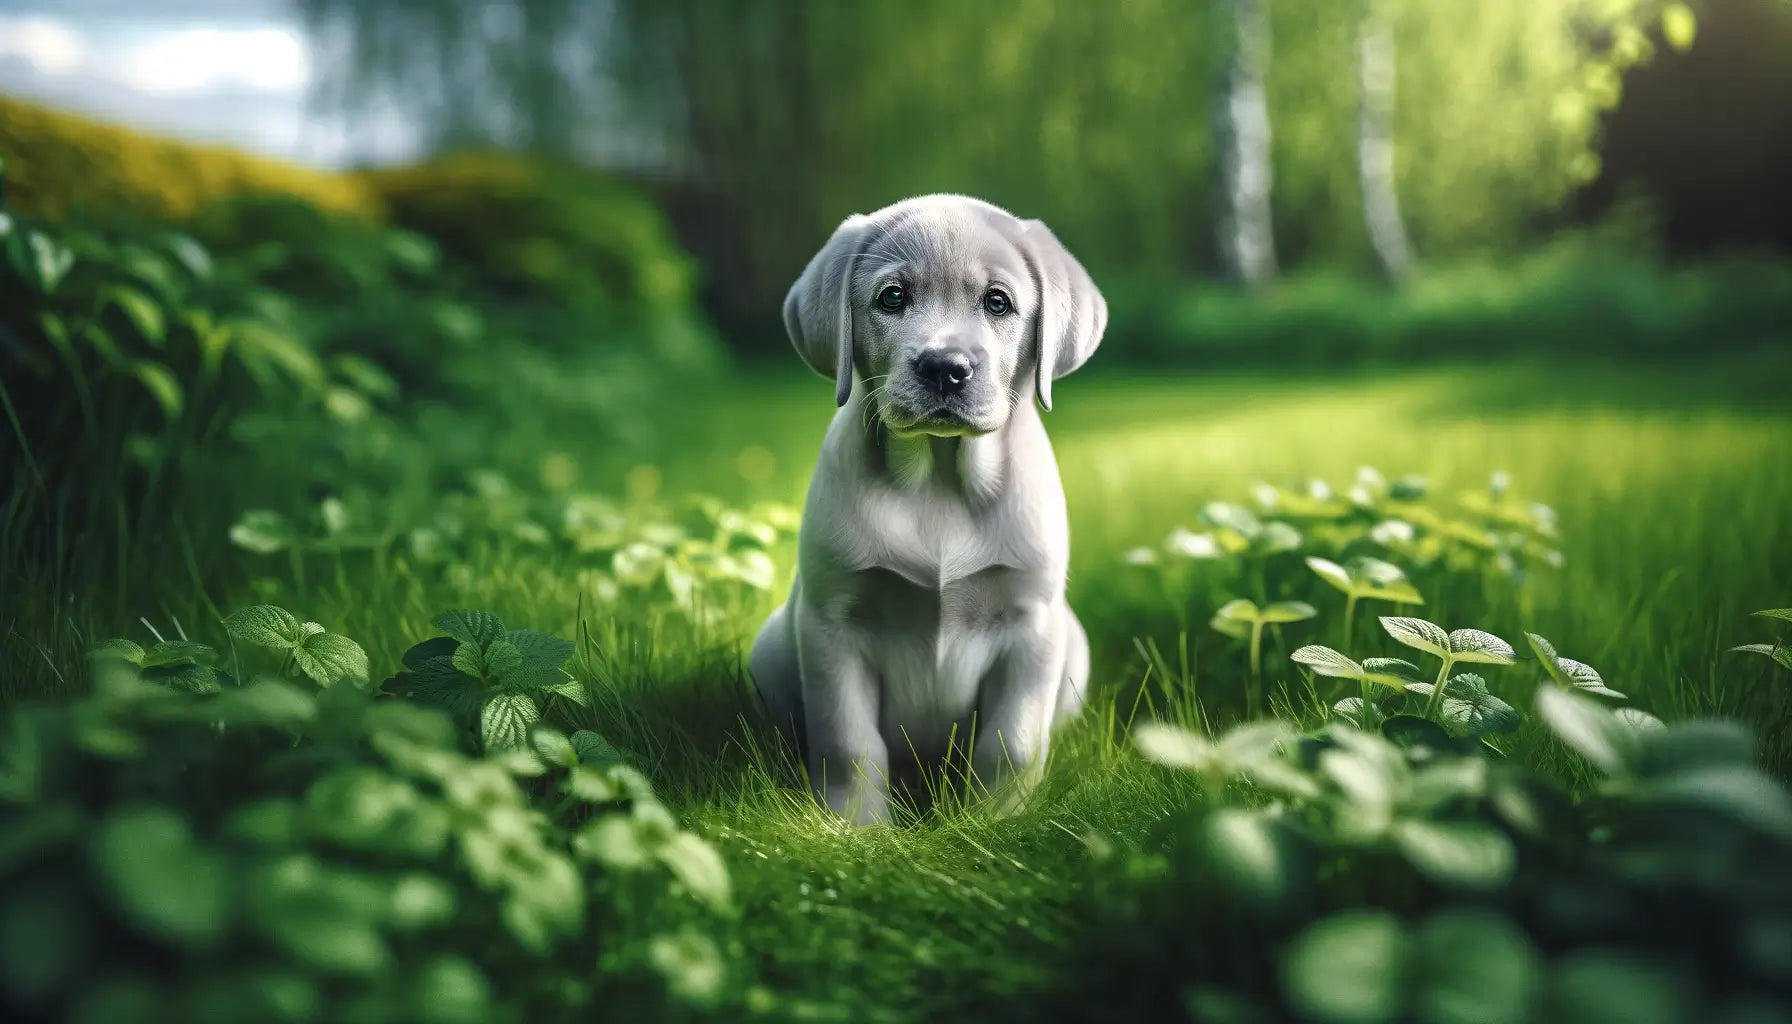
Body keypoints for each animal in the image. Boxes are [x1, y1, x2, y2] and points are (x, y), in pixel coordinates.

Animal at [741, 196, 1103, 828]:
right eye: (892, 297)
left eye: (997, 302)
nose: (944, 367)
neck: (939, 479)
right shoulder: (833, 625)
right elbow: (849, 744)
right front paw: (858, 830)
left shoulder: (1031, 625)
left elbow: (1012, 743)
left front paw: (997, 823)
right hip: (771, 648)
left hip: (1073, 645)